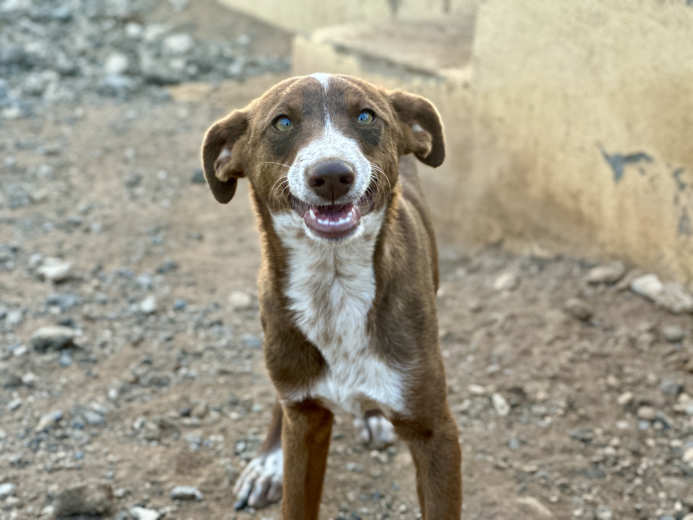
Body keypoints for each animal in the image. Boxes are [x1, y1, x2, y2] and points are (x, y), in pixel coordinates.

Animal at [201, 73, 462, 519]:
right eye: (282, 122)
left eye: (366, 116)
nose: (332, 174)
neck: (334, 286)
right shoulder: (306, 425)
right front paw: (273, 462)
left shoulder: (436, 434)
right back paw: (268, 462)